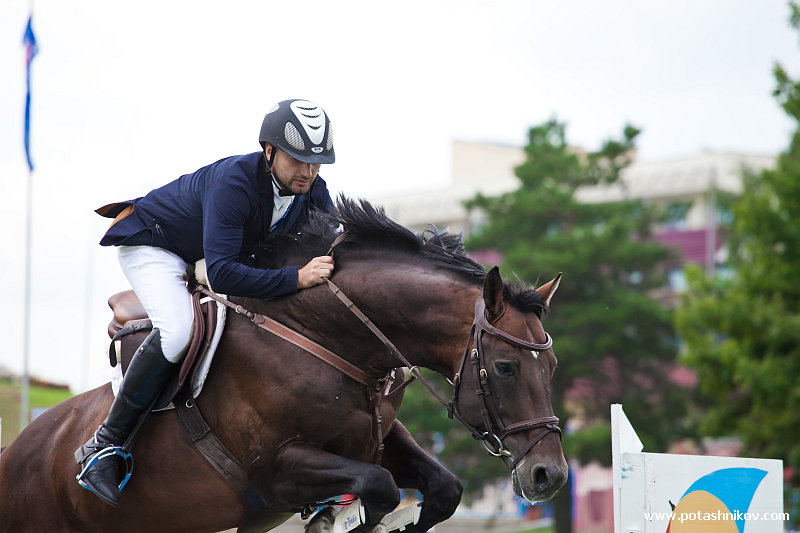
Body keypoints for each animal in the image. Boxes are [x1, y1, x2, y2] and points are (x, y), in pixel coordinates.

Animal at [0, 198, 568, 532]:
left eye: (553, 367)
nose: (549, 476)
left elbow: (443, 489)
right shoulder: (274, 466)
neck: (326, 335)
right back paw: (100, 464)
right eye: (505, 368)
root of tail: (17, 451)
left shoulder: (378, 440)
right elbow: (379, 489)